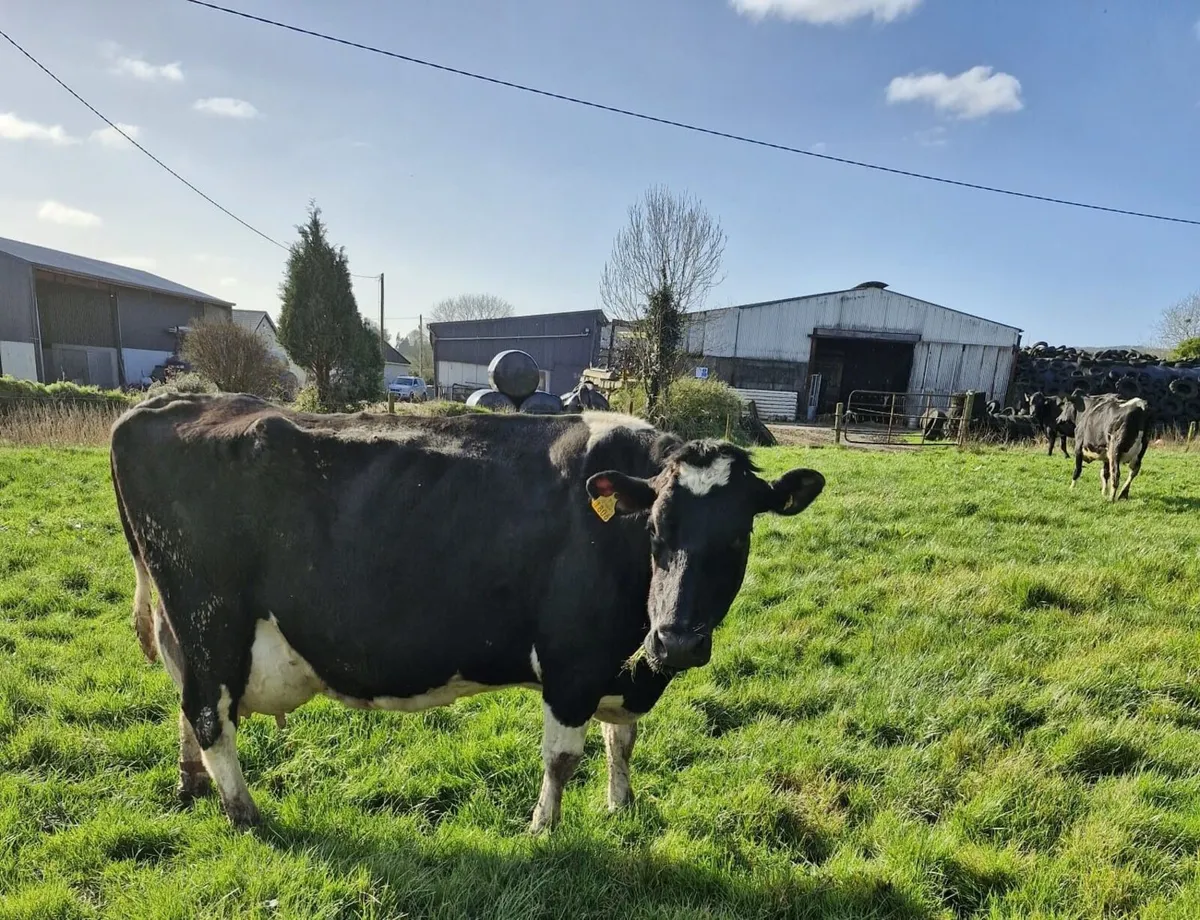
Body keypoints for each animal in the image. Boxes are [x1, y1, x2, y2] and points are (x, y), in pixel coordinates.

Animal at [109, 392, 825, 831]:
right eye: (653, 530)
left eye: (738, 537)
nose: (675, 641)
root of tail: (168, 402)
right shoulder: (572, 661)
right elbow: (562, 757)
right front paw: (544, 829)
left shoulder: (622, 666)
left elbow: (621, 740)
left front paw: (620, 807)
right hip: (210, 617)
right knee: (210, 715)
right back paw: (245, 813)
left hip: (188, 627)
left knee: (190, 704)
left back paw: (192, 787)